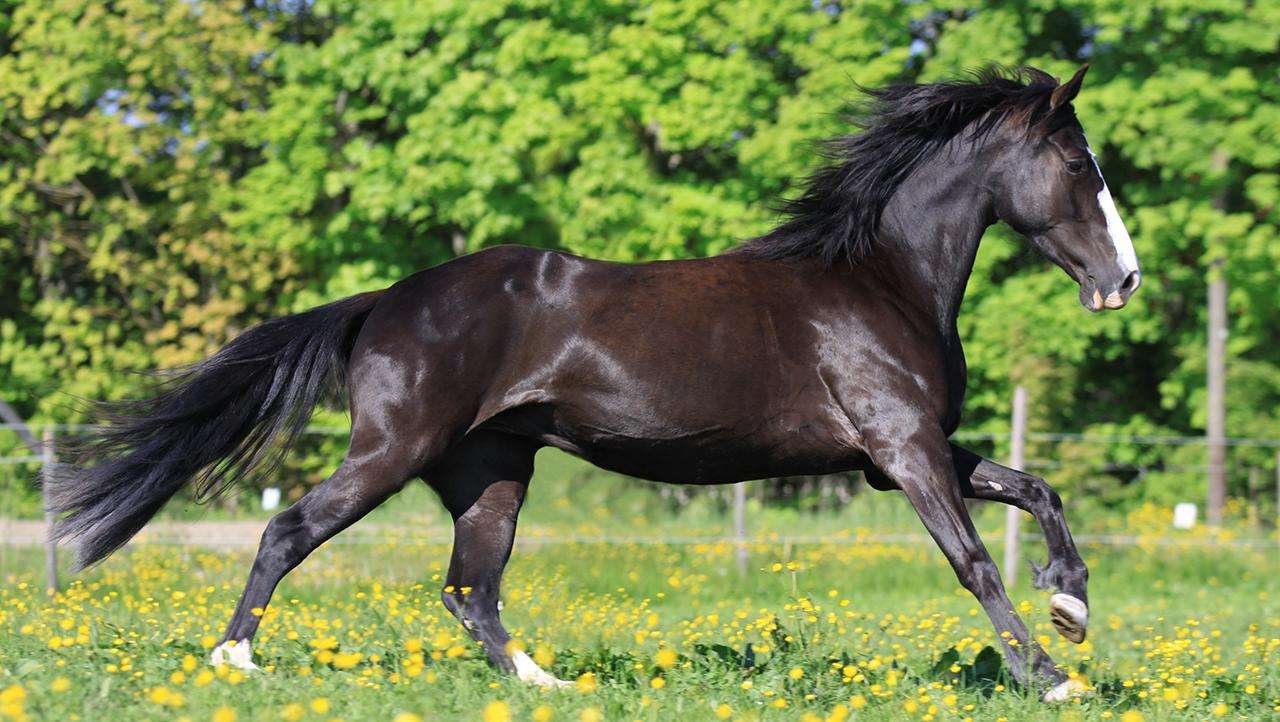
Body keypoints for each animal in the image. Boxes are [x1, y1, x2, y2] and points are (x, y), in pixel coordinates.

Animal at [48, 65, 1140, 701]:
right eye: (1079, 167)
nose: (1123, 279)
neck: (877, 279)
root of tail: (385, 301)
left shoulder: (901, 451)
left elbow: (1037, 489)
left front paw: (1073, 606)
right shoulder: (902, 451)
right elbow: (975, 562)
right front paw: (1051, 675)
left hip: (489, 471)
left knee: (468, 589)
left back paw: (548, 683)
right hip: (396, 449)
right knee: (293, 529)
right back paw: (235, 660)